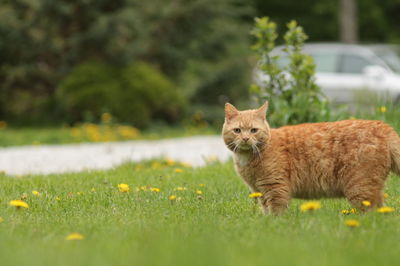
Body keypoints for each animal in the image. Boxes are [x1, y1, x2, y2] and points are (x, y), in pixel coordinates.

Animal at [220, 102, 400, 214]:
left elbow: (276, 214)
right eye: (237, 131)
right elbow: (266, 212)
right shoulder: (261, 193)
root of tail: (383, 126)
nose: (245, 139)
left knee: (371, 214)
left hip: (360, 188)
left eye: (254, 130)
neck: (248, 158)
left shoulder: (276, 189)